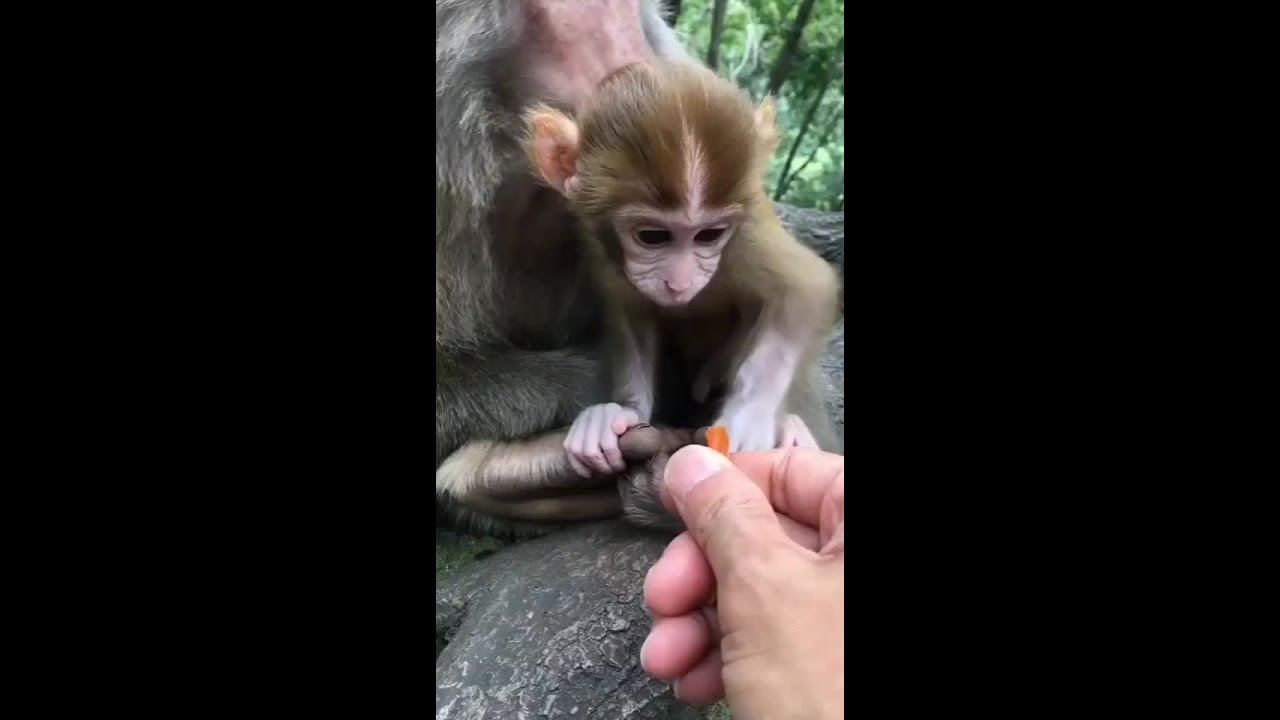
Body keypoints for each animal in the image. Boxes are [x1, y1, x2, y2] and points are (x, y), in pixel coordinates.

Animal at [523, 60, 841, 487]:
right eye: (653, 236)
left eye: (709, 235)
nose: (680, 283)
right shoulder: (599, 241)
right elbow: (631, 311)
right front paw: (622, 413)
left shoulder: (746, 236)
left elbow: (808, 289)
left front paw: (749, 417)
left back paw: (794, 430)